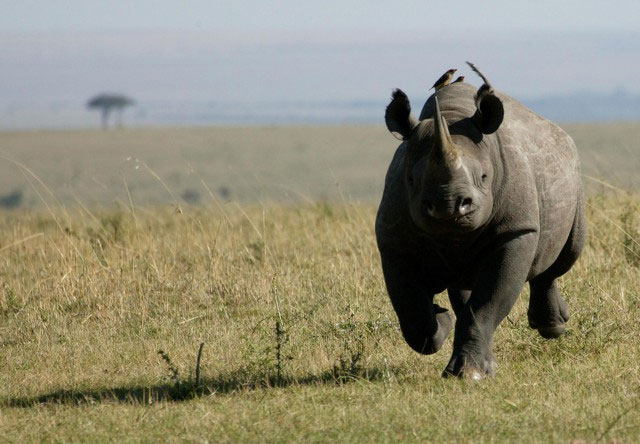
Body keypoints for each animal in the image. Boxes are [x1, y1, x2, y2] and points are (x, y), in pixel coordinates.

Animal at [376, 63, 585, 379]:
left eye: (485, 177)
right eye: (411, 181)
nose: (448, 207)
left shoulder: (516, 231)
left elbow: (487, 305)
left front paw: (468, 373)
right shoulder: (393, 240)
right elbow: (414, 316)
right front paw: (442, 321)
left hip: (571, 172)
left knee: (564, 256)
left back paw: (553, 328)